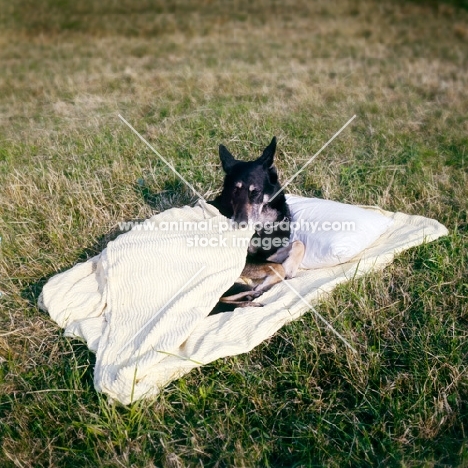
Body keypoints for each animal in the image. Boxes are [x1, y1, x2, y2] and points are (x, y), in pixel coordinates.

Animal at [210, 137, 306, 312]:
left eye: (255, 192)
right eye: (234, 191)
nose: (240, 223)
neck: (263, 225)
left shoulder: (267, 255)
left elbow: (298, 243)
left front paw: (290, 267)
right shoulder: (245, 261)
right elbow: (278, 268)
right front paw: (265, 285)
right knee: (220, 300)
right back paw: (251, 297)